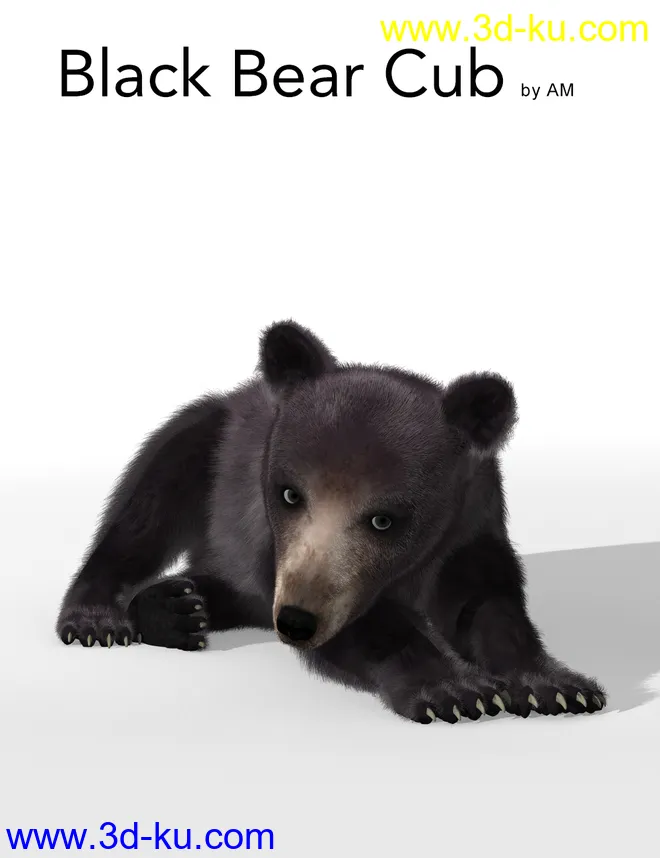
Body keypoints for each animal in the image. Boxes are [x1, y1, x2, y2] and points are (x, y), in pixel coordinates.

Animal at [56, 320, 606, 723]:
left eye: (384, 519)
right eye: (289, 493)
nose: (296, 621)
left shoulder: (470, 528)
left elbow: (488, 603)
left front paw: (556, 687)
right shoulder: (270, 535)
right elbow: (369, 625)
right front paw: (453, 689)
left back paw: (183, 605)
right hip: (202, 450)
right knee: (143, 513)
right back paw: (110, 615)